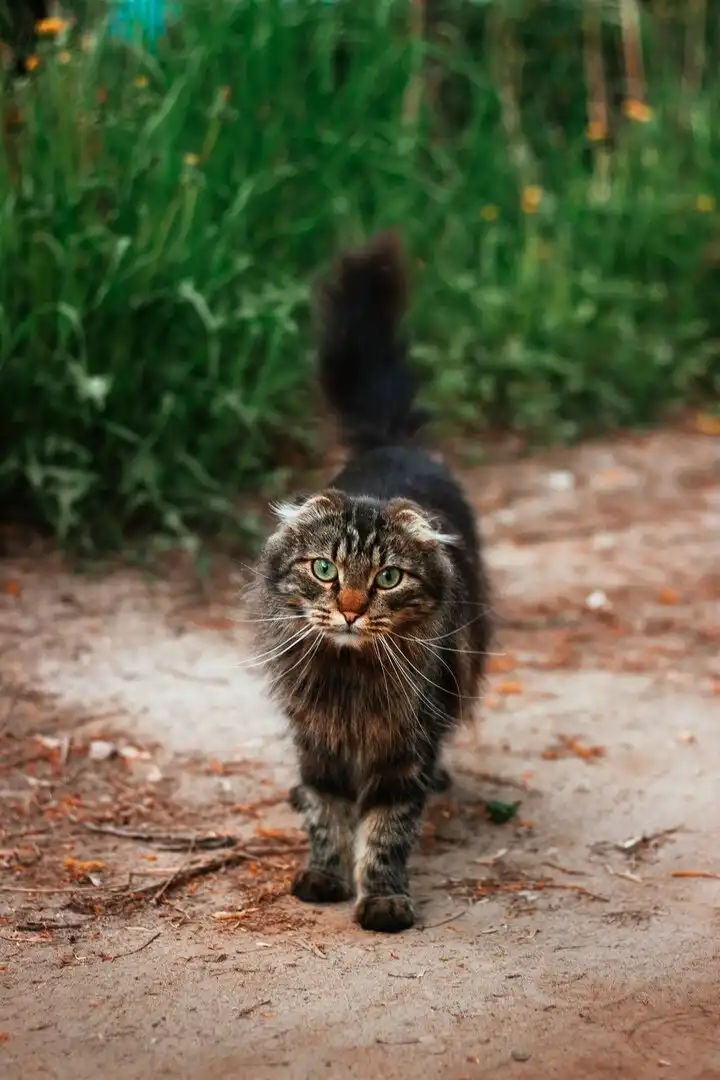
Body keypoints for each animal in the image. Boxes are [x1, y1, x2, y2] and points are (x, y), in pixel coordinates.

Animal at [252, 231, 491, 933]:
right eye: (325, 570)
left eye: (387, 578)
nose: (352, 610)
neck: (353, 679)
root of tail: (391, 441)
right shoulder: (317, 738)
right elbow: (328, 813)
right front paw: (324, 876)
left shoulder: (405, 748)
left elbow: (388, 829)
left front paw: (383, 899)